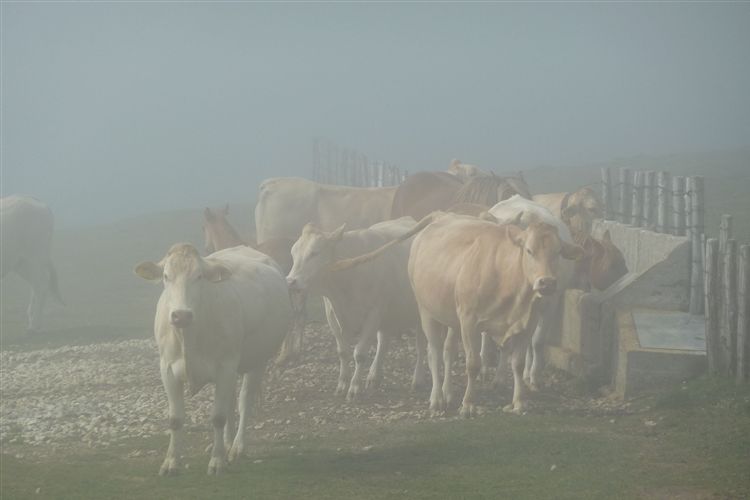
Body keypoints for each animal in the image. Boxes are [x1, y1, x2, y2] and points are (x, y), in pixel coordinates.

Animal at [0, 195, 64, 332]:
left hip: (34, 258)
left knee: (41, 285)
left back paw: (34, 325)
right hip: (22, 262)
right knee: (36, 284)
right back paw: (32, 321)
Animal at [286, 217, 428, 400]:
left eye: (314, 253)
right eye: (293, 253)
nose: (290, 281)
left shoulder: (373, 313)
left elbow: (359, 354)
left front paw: (354, 388)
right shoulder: (332, 315)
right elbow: (343, 352)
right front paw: (342, 384)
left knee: (421, 346)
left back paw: (417, 380)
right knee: (383, 342)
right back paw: (374, 376)